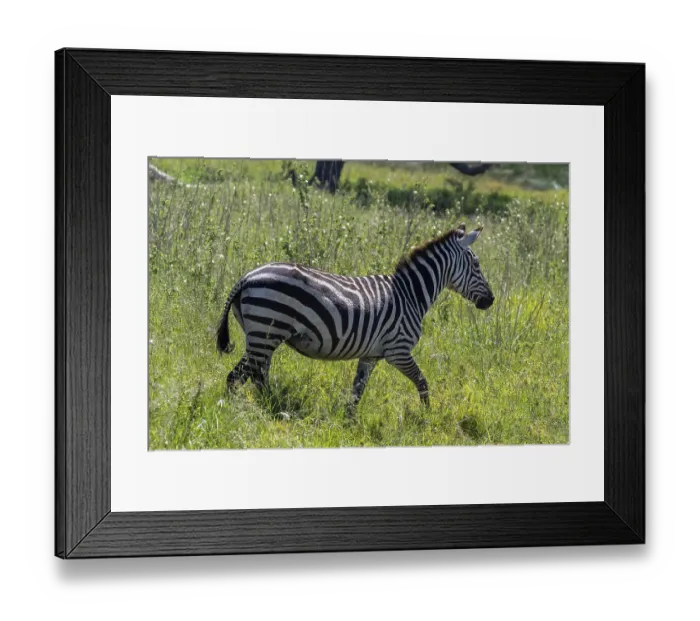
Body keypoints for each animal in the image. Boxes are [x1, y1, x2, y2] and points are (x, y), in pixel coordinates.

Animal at [216, 223, 494, 415]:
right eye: (477, 265)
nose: (490, 300)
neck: (410, 294)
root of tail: (247, 276)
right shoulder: (398, 350)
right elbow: (422, 381)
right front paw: (428, 417)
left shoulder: (370, 355)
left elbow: (357, 391)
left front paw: (349, 422)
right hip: (265, 334)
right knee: (238, 377)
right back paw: (243, 410)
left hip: (262, 336)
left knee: (255, 376)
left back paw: (267, 405)